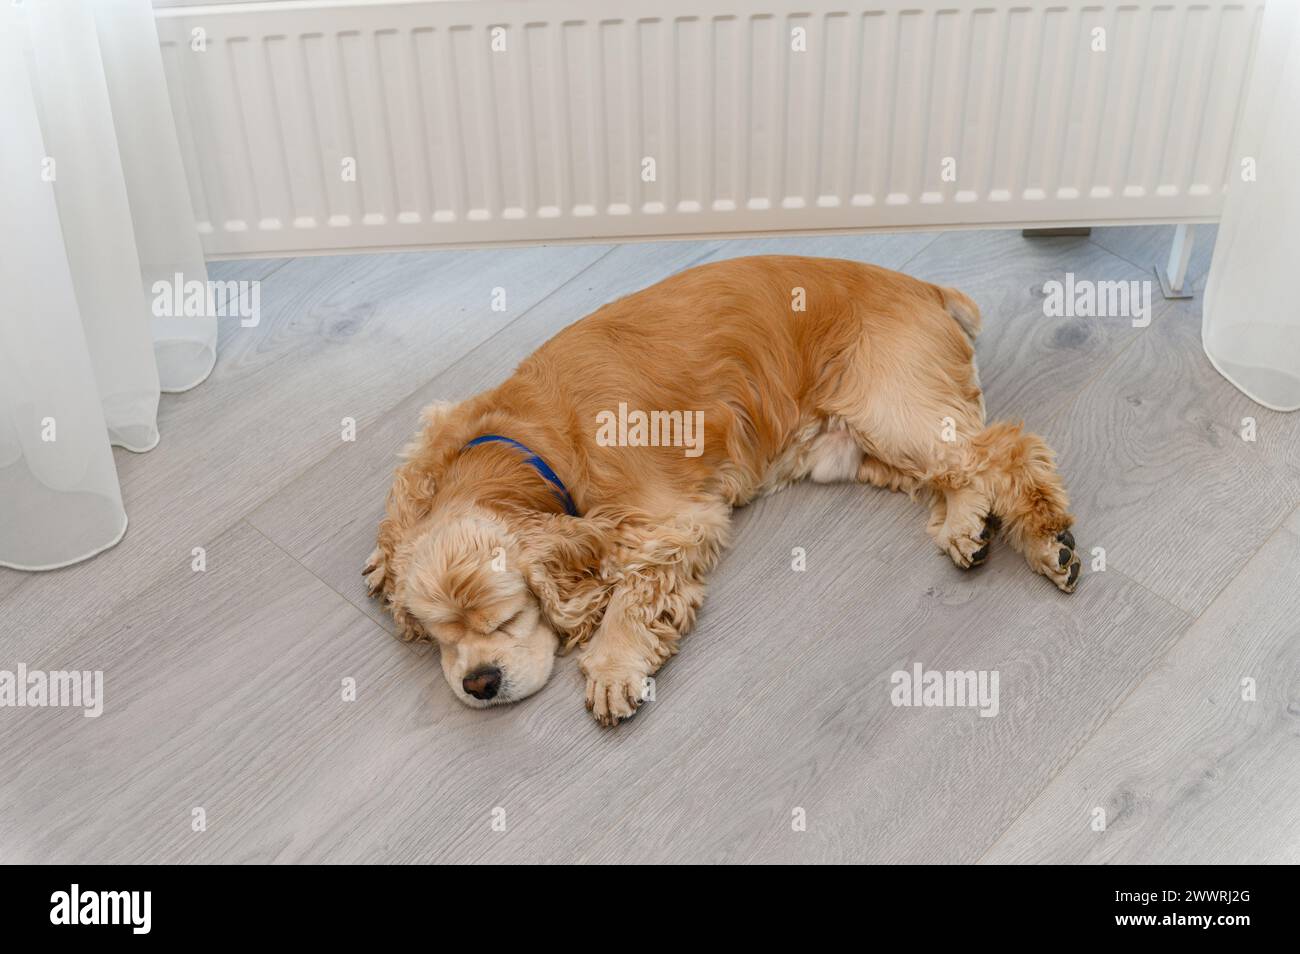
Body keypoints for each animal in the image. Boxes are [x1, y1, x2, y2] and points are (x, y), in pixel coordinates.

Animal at [366, 257, 1076, 727]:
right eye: (440, 636)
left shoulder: (673, 521)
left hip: (893, 407)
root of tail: (925, 287)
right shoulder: (445, 426)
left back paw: (1051, 544)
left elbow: (635, 595)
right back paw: (965, 528)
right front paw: (382, 557)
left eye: (506, 618)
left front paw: (613, 666)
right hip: (854, 447)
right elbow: (405, 492)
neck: (522, 448)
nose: (479, 683)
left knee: (1008, 449)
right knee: (963, 471)